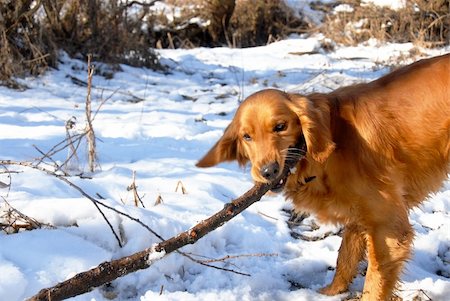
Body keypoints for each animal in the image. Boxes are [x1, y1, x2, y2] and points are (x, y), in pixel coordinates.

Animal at [197, 52, 450, 298]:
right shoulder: (359, 215)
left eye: (280, 126)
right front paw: (330, 292)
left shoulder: (388, 227)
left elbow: (373, 284)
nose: (268, 171)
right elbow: (345, 257)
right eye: (246, 136)